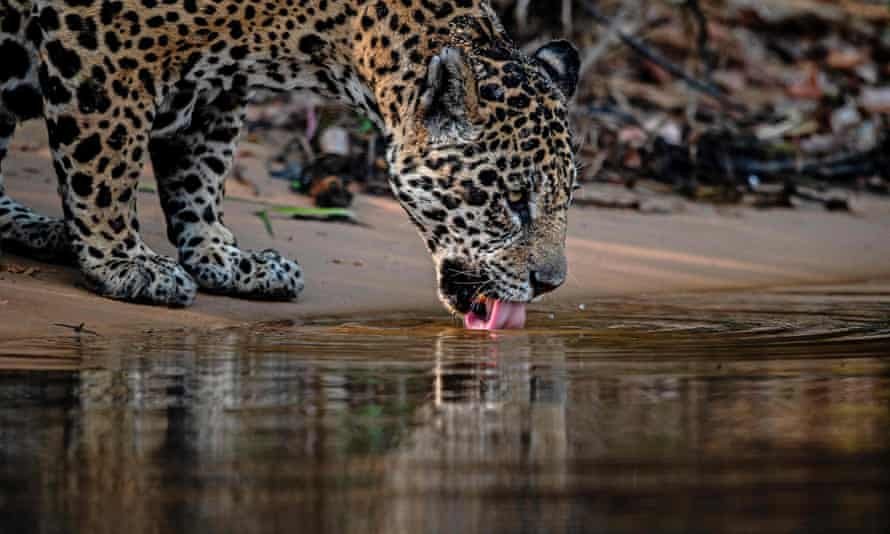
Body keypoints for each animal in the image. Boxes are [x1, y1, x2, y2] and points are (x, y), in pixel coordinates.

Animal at [0, 0, 580, 326]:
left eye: (566, 200)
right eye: (512, 201)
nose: (551, 284)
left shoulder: (218, 83)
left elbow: (201, 171)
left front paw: (222, 259)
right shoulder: (103, 45)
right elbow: (107, 163)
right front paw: (125, 263)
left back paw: (44, 231)